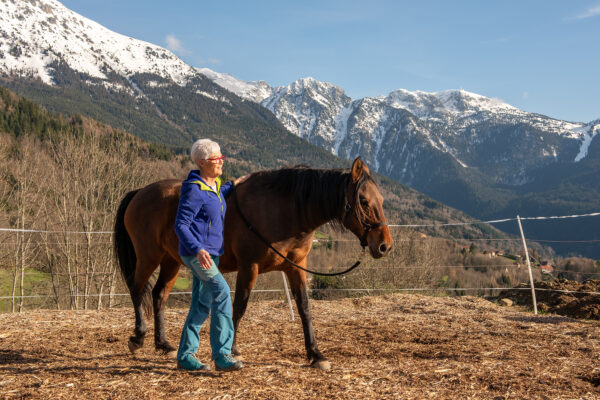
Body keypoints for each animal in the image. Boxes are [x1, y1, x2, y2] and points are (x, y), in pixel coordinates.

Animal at [112, 158, 394, 370]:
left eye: (381, 201)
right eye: (363, 202)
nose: (385, 245)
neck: (286, 211)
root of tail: (140, 192)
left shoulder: (296, 267)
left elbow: (304, 308)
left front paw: (316, 354)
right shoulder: (250, 267)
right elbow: (239, 307)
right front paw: (233, 350)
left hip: (171, 260)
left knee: (159, 295)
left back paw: (164, 345)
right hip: (148, 256)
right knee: (137, 289)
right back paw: (138, 337)